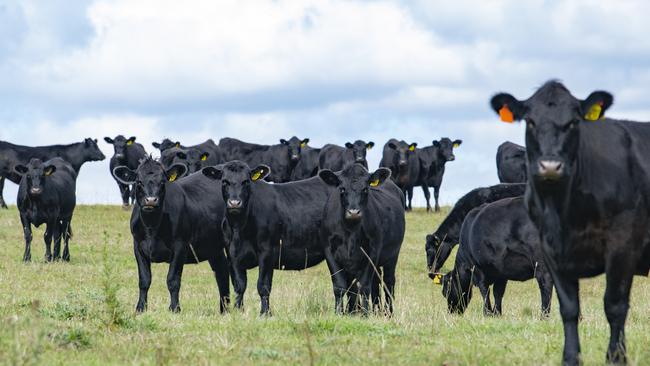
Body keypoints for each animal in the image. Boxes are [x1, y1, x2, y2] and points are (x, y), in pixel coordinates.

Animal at [112, 157, 229, 312]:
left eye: (163, 182)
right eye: (138, 182)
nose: (151, 200)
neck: (152, 227)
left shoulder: (180, 246)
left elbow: (173, 280)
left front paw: (174, 308)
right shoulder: (138, 247)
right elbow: (144, 280)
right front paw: (140, 308)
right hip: (213, 247)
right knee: (222, 271)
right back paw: (225, 310)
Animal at [201, 162, 346, 316]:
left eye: (246, 181)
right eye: (224, 182)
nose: (234, 203)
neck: (239, 228)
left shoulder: (267, 252)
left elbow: (263, 285)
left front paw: (265, 313)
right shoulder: (232, 255)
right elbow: (239, 286)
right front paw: (239, 311)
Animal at [318, 164, 402, 314]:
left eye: (365, 189)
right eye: (342, 189)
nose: (353, 212)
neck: (350, 231)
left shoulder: (372, 251)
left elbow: (364, 286)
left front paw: (365, 314)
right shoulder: (329, 251)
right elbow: (340, 286)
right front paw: (339, 313)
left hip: (392, 255)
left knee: (388, 282)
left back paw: (388, 313)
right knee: (374, 283)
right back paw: (372, 310)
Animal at [488, 81, 648, 366]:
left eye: (574, 122)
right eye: (529, 121)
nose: (550, 166)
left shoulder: (622, 247)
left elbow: (615, 305)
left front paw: (616, 356)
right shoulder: (552, 251)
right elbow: (569, 308)